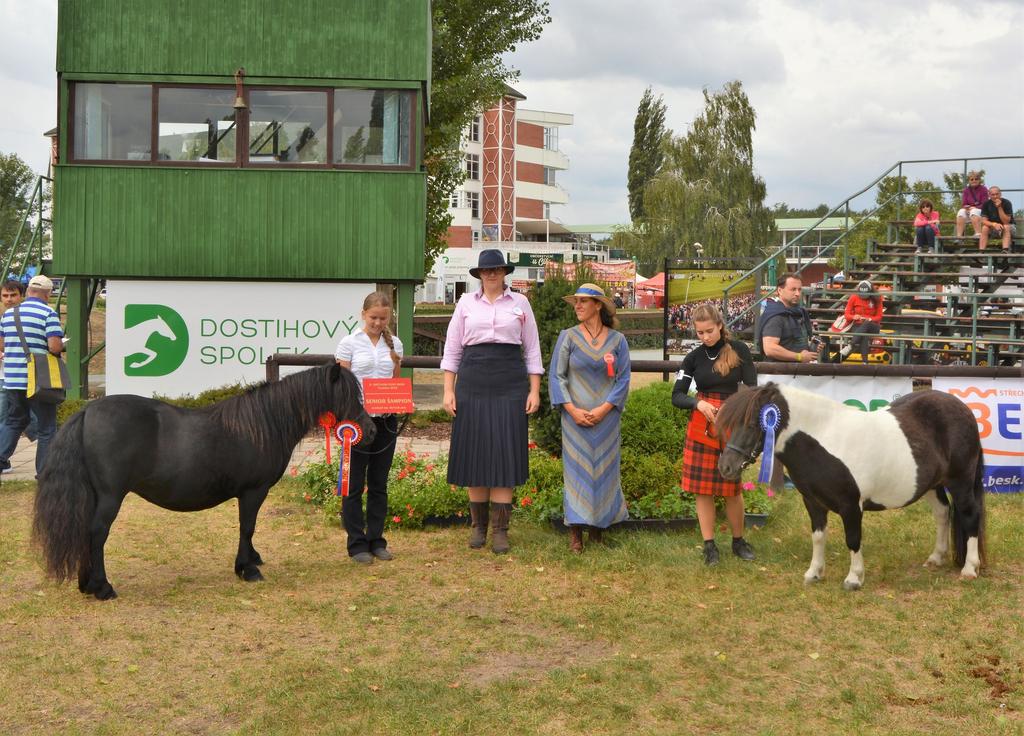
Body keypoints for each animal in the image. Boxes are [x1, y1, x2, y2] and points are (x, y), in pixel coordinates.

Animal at [30, 362, 376, 597]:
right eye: (347, 394)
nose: (371, 430)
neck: (265, 422)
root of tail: (87, 411)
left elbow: (248, 529)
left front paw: (253, 560)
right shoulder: (253, 491)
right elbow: (247, 527)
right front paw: (247, 568)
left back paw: (86, 583)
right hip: (111, 496)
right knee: (97, 533)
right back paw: (102, 587)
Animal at [716, 382, 987, 589]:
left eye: (753, 424)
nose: (726, 467)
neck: (824, 439)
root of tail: (963, 409)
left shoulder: (851, 506)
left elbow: (853, 539)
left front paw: (854, 579)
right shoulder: (813, 502)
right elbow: (818, 537)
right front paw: (814, 573)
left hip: (960, 481)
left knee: (969, 515)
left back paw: (969, 568)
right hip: (932, 484)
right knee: (942, 513)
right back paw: (936, 558)